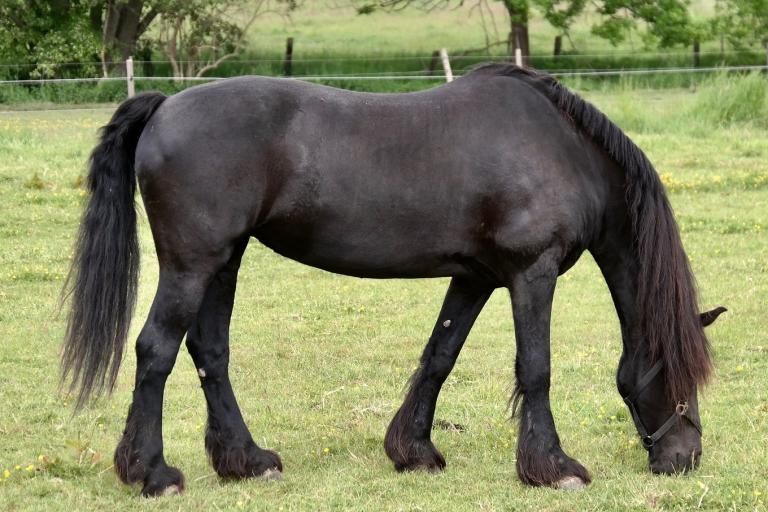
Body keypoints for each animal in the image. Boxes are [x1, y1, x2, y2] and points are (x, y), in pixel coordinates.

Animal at [61, 64, 725, 496]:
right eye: (681, 377)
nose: (685, 457)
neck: (563, 150)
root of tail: (166, 105)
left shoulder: (476, 279)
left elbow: (439, 355)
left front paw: (414, 451)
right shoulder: (530, 274)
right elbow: (535, 368)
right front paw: (553, 466)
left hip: (223, 261)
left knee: (210, 352)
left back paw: (246, 460)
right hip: (193, 263)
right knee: (156, 350)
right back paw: (152, 473)